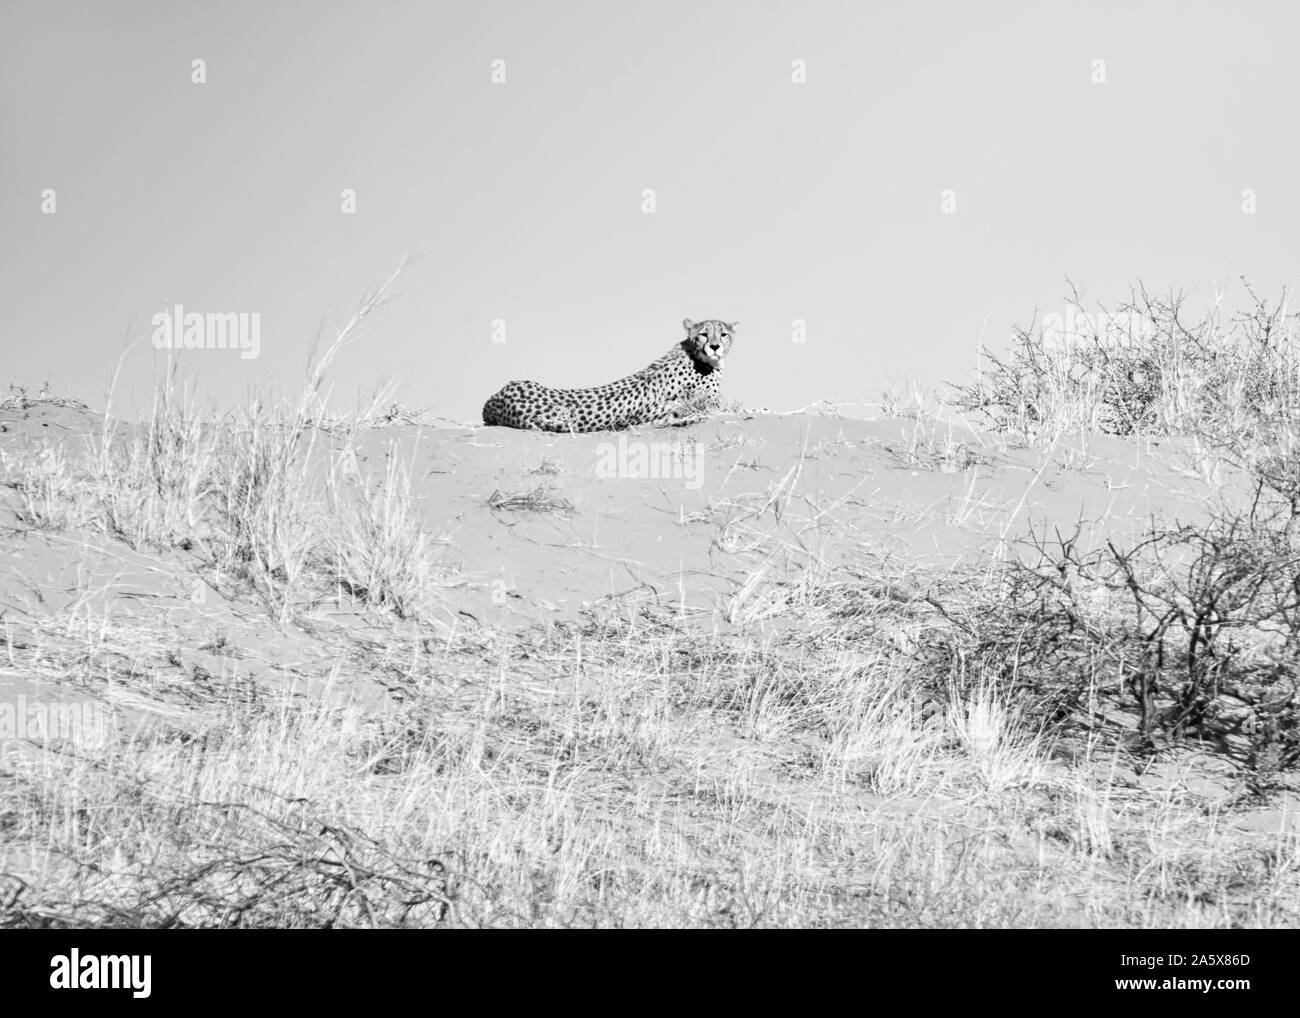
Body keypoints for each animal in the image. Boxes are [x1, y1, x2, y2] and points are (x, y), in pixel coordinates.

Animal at [481, 318, 736, 433]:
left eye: (723, 334)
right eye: (703, 334)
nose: (714, 347)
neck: (694, 353)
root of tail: (495, 398)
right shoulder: (709, 405)